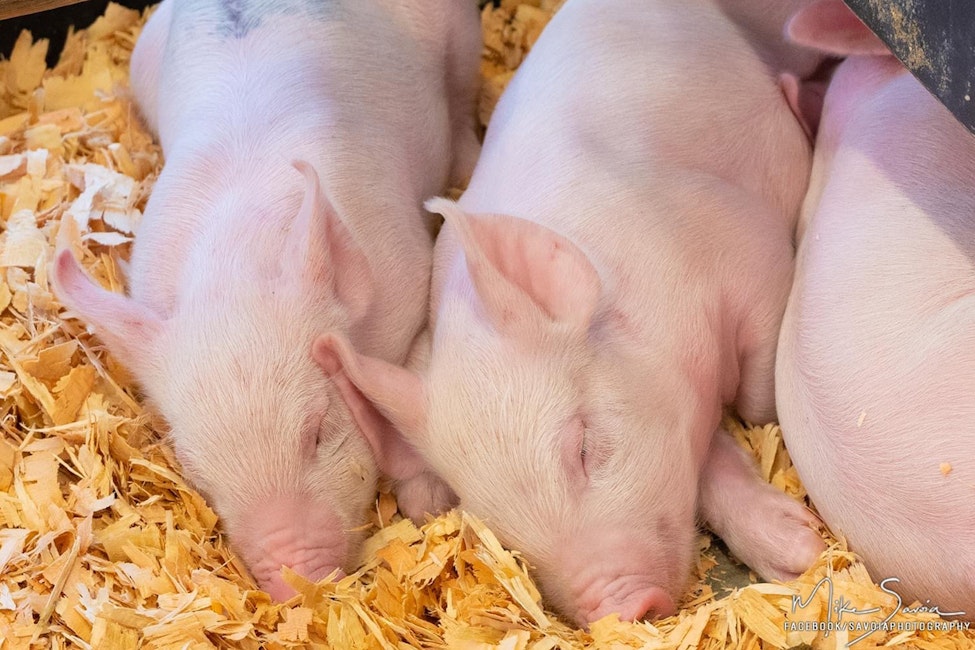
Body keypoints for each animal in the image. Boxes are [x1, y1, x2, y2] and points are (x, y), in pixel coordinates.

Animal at [52, 0, 481, 600]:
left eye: (319, 431)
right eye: (195, 467)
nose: (293, 584)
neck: (237, 261)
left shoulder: (409, 275)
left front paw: (427, 506)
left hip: (461, 34)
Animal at [310, 0, 826, 626]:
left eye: (583, 446)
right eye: (493, 519)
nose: (620, 605)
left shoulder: (753, 256)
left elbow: (757, 400)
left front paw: (806, 552)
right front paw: (798, 551)